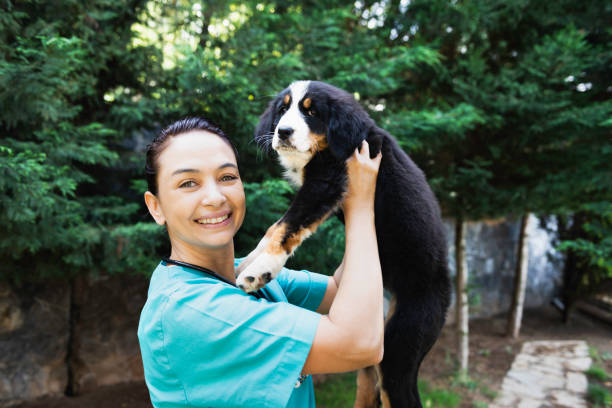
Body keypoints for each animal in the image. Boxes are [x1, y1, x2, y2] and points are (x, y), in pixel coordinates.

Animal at [237, 80, 452, 408]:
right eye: (283, 109)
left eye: (312, 112)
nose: (283, 132)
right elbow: (274, 228)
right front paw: (251, 259)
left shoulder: (326, 183)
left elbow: (285, 225)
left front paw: (258, 270)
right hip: (374, 353)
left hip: (401, 346)